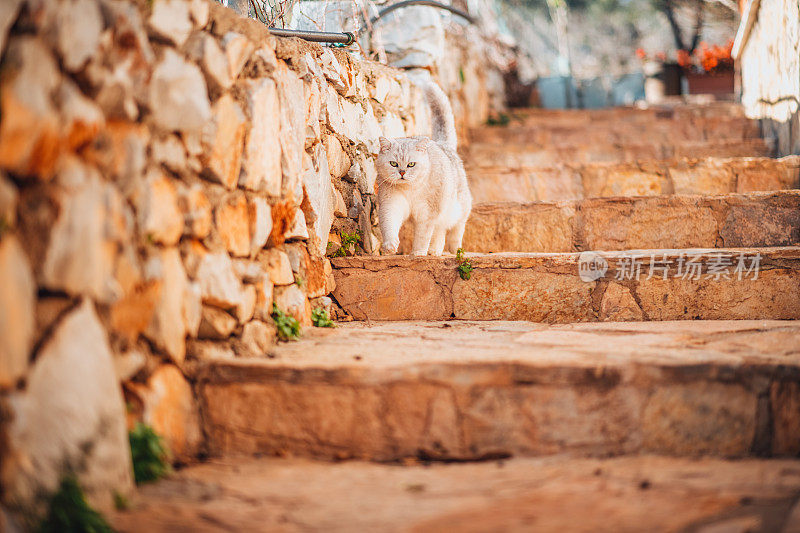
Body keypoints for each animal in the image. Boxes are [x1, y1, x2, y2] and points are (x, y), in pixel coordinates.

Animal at [376, 76, 472, 256]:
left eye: (411, 164)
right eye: (393, 163)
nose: (402, 172)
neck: (410, 190)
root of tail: (442, 144)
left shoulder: (427, 214)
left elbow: (422, 236)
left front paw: (418, 253)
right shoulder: (391, 204)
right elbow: (389, 225)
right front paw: (390, 245)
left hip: (458, 208)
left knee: (456, 229)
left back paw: (455, 249)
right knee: (440, 231)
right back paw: (435, 251)